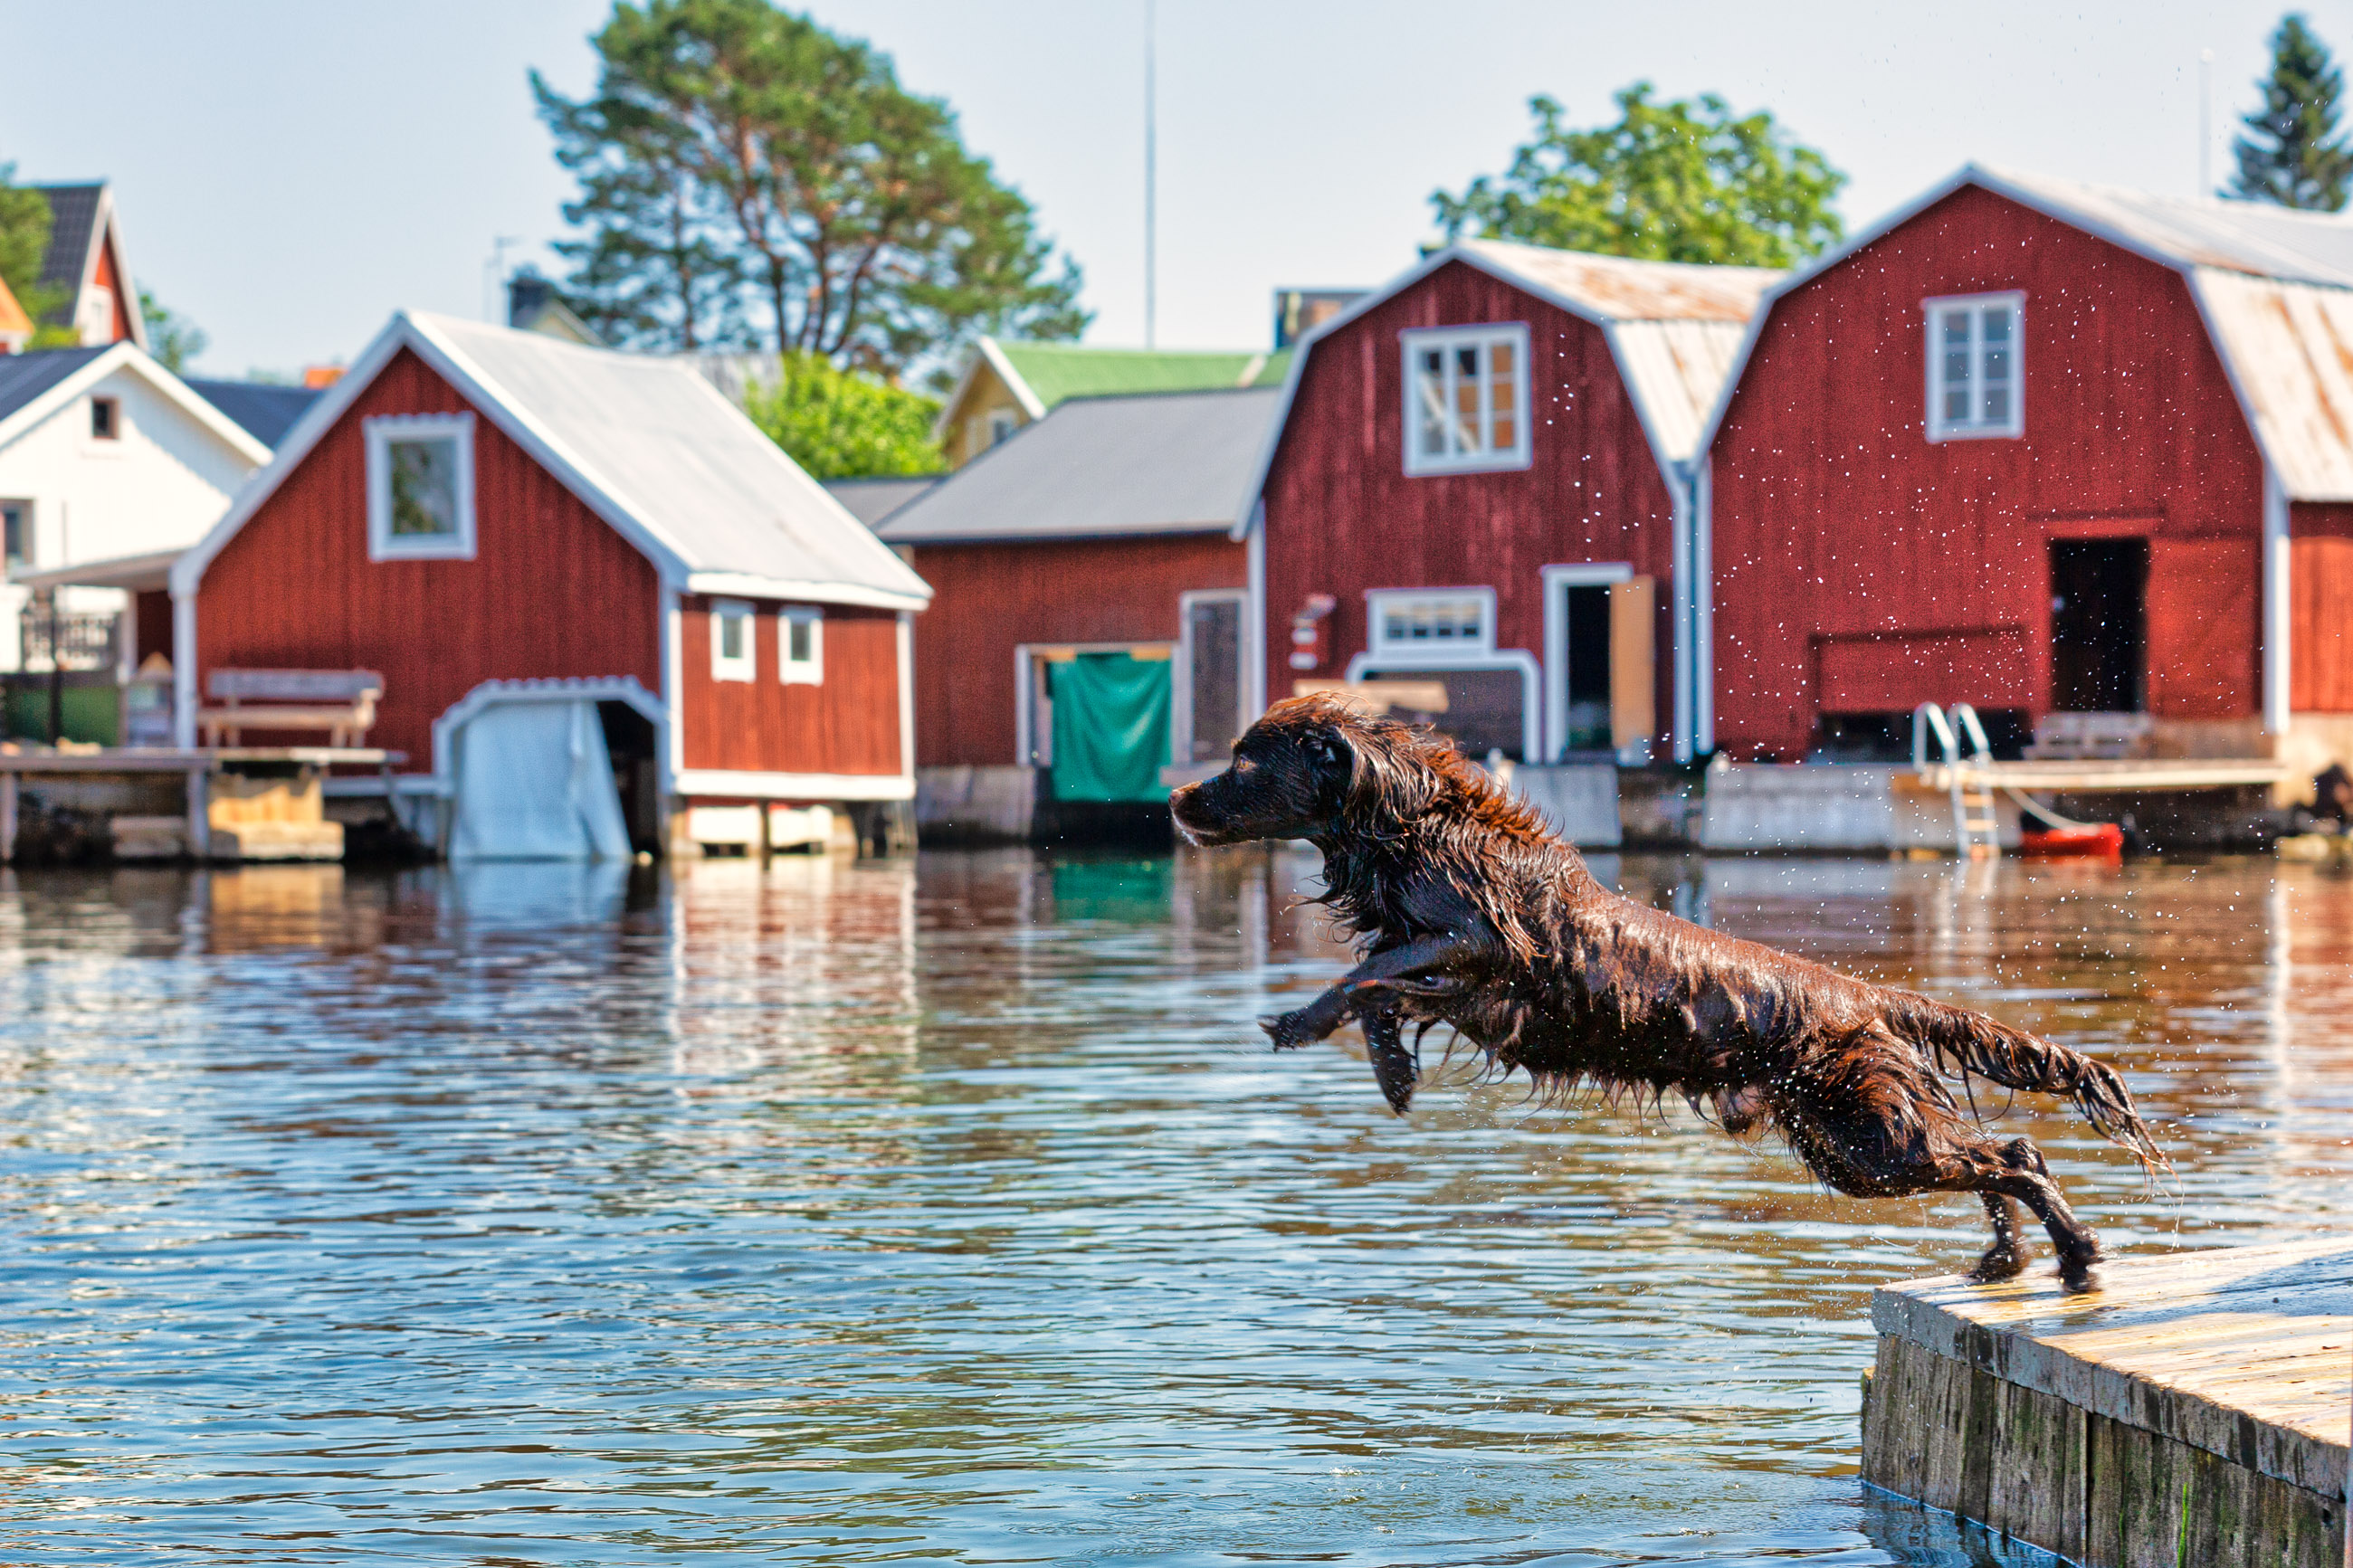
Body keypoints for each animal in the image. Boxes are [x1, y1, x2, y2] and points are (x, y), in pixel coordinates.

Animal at [1176, 696, 2165, 1288]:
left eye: (1245, 760)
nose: (1178, 798)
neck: (1415, 828)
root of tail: (1865, 998)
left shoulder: (1483, 945)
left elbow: (1365, 974)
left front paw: (1298, 1021)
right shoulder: (1455, 979)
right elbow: (1381, 988)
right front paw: (1390, 1072)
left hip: (1866, 1134)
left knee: (2011, 1155)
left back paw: (2077, 1253)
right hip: (1849, 1144)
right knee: (2003, 1148)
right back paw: (2006, 1257)